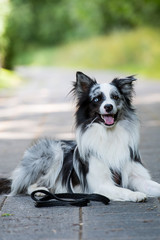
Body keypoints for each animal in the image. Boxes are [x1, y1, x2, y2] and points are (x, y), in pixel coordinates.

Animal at [0, 71, 160, 201]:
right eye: (97, 99)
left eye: (115, 97)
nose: (108, 107)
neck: (109, 134)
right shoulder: (100, 184)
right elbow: (122, 190)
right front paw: (135, 194)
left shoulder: (136, 175)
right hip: (53, 152)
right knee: (27, 185)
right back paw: (41, 191)